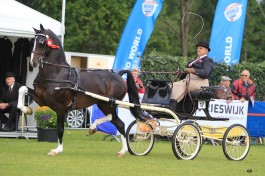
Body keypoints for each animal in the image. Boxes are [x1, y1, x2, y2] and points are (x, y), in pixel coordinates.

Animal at [17, 23, 145, 157]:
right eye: (33, 42)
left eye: (42, 42)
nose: (33, 62)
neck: (56, 74)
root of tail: (119, 76)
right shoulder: (41, 100)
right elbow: (22, 89)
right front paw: (26, 109)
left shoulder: (60, 107)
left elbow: (60, 129)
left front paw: (57, 150)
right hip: (102, 104)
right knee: (120, 124)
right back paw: (122, 150)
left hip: (108, 103)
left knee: (112, 117)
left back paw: (93, 127)